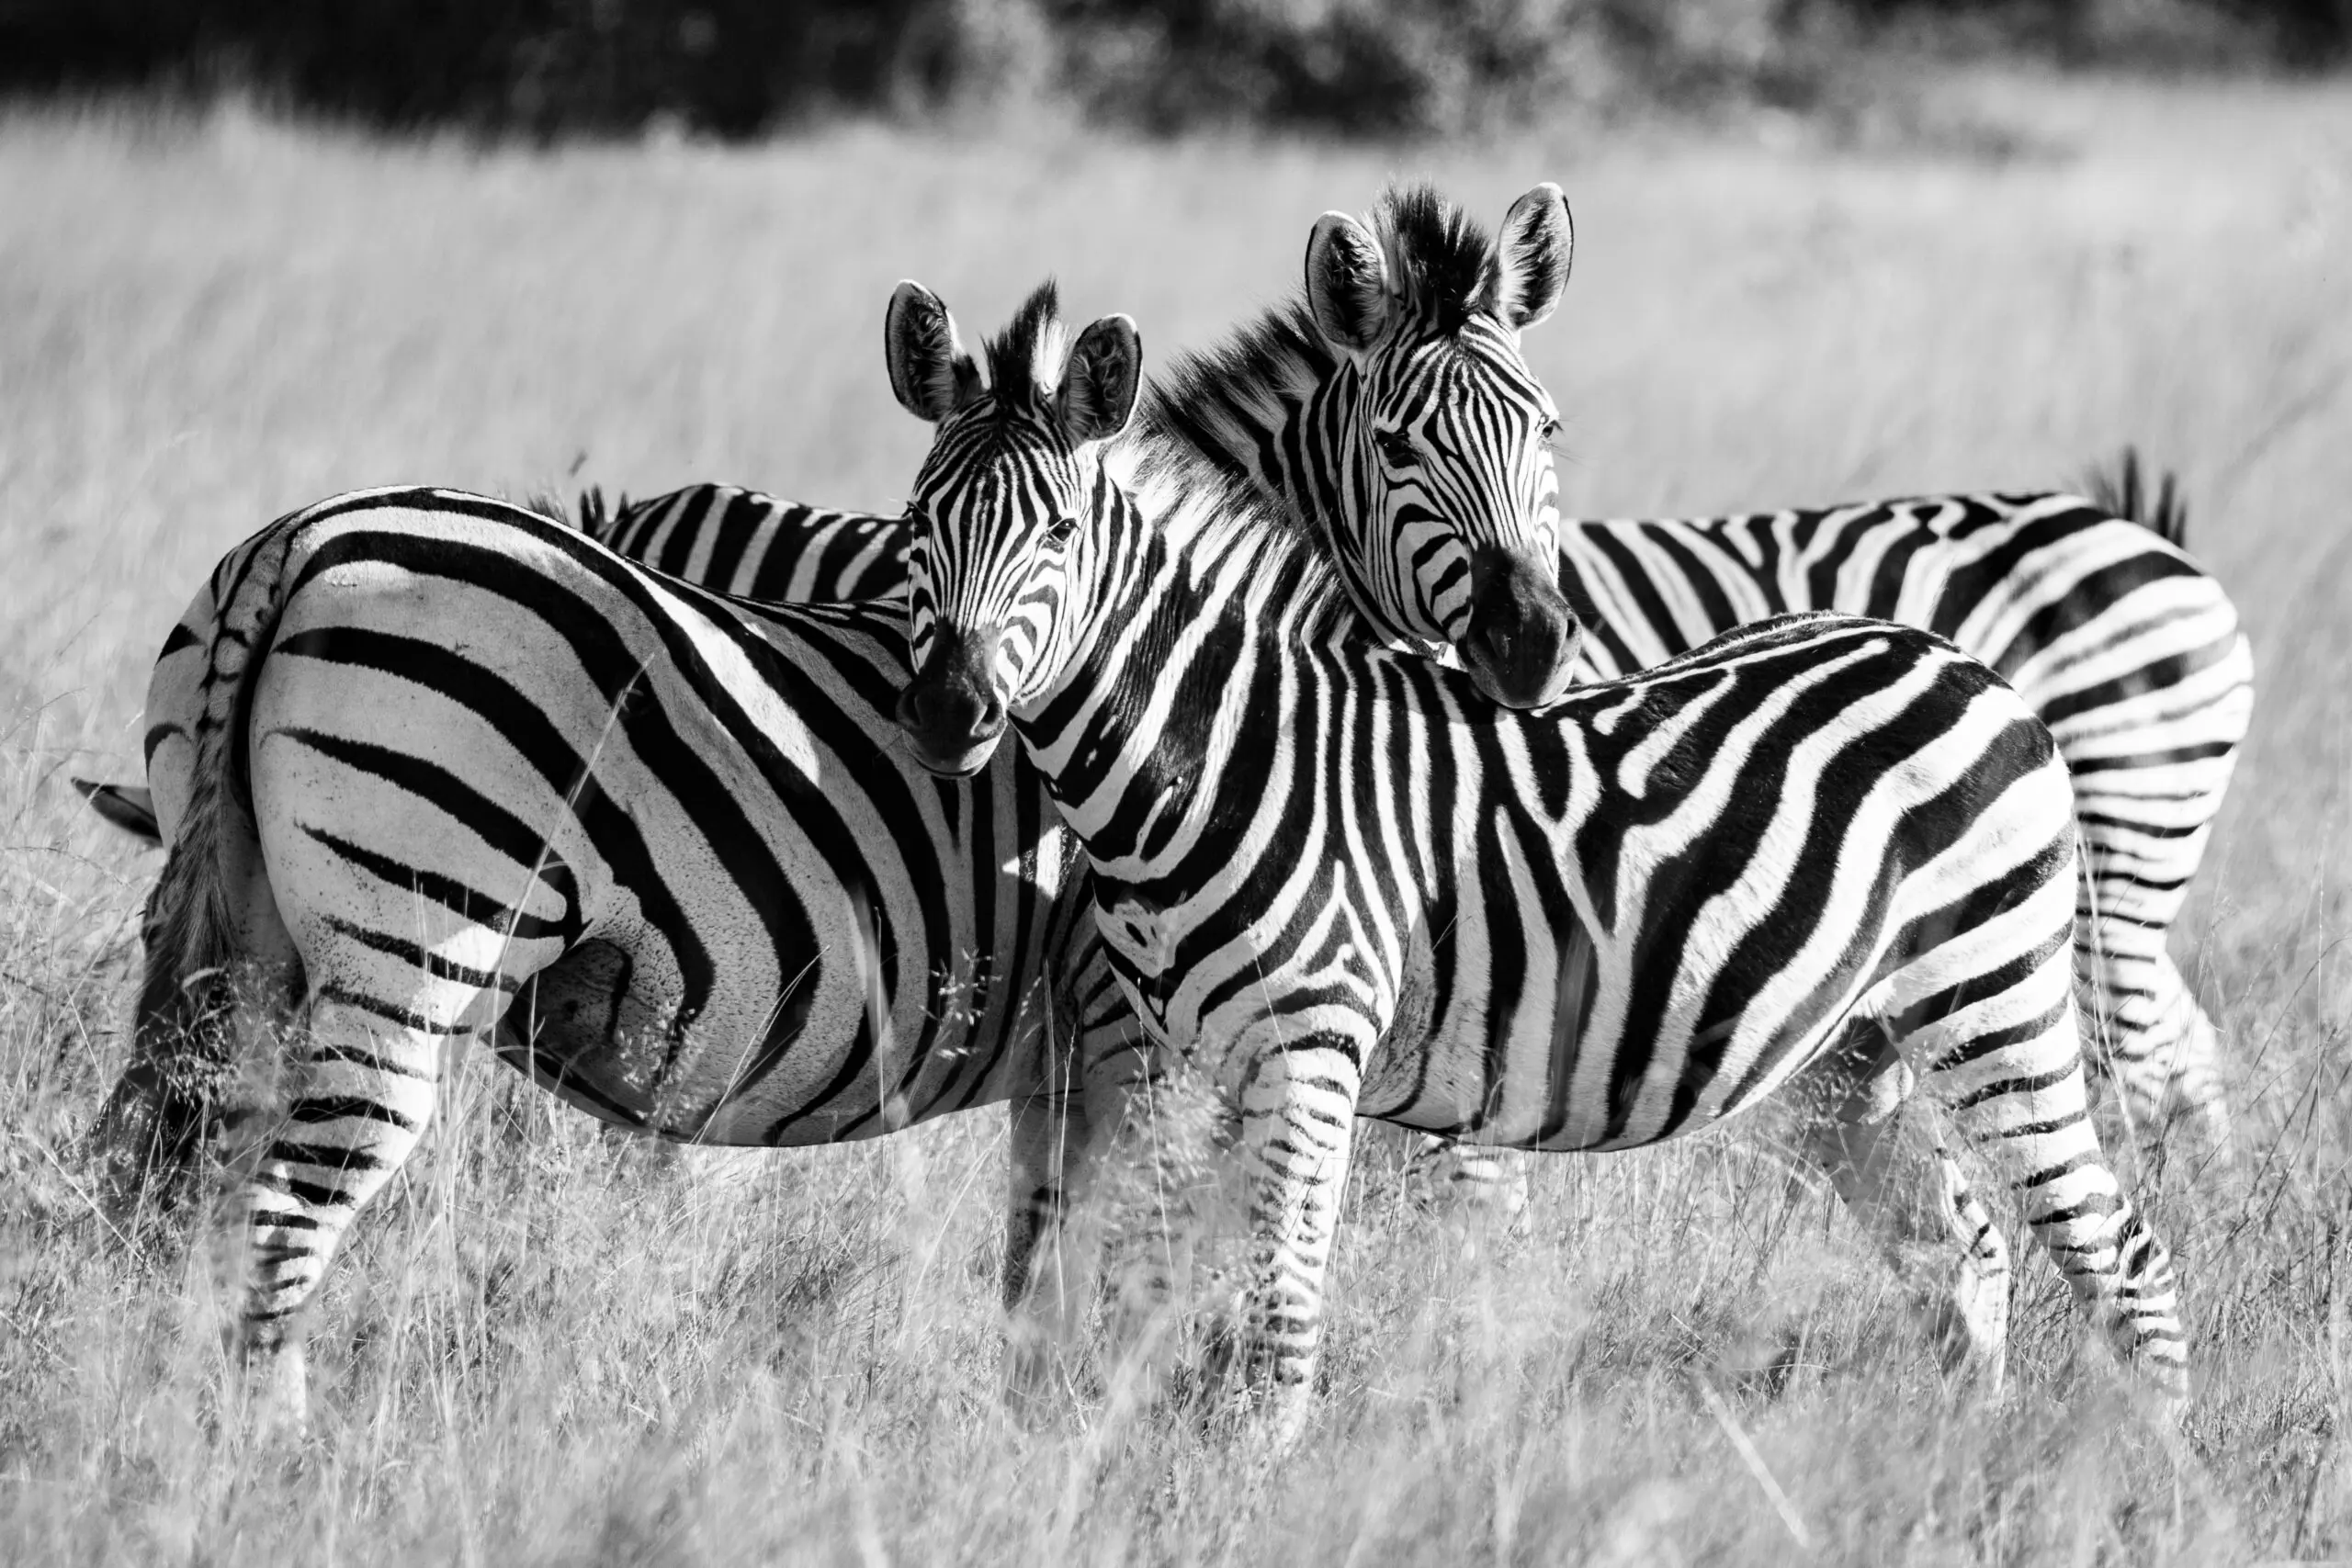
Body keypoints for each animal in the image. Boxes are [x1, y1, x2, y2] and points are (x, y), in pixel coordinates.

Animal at [89, 491, 1157, 1438]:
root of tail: (301, 538)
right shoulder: (1119, 1021)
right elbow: (1121, 1261)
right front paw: (1105, 1441)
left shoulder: (1069, 1057)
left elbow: (1040, 1264)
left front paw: (1031, 1438)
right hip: (409, 952)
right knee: (276, 1216)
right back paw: (280, 1459)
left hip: (245, 941)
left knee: (167, 1171)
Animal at [879, 285, 2182, 1448]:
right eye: (914, 526)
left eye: (1057, 533)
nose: (945, 714)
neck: (1229, 747)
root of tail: (1962, 660)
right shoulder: (1199, 1065)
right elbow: (1173, 1286)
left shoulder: (1309, 1054)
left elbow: (1283, 1307)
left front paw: (1254, 1489)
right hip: (1848, 1052)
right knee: (1966, 1245)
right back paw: (1966, 1456)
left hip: (1989, 997)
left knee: (2123, 1255)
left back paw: (2145, 1480)